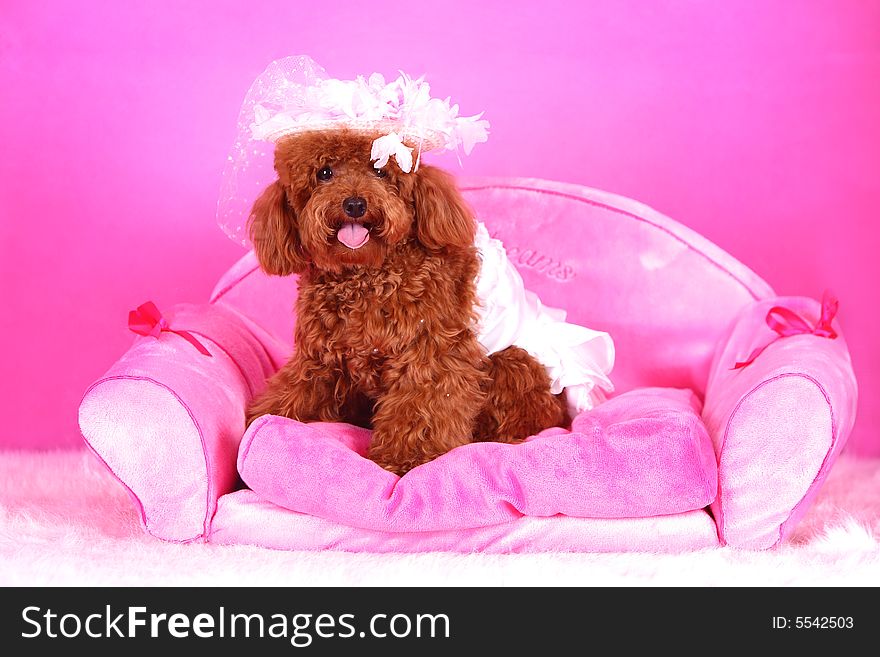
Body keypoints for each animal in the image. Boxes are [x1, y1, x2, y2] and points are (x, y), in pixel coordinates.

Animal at [244, 127, 568, 472]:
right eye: (325, 173)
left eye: (379, 171)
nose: (355, 204)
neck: (365, 275)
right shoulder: (320, 359)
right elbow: (293, 393)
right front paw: (260, 421)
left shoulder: (429, 357)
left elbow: (421, 408)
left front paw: (405, 460)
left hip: (513, 363)